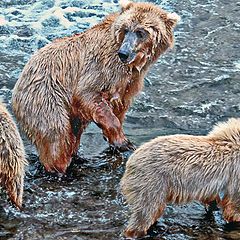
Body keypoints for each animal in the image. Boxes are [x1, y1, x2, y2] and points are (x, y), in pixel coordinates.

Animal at [11, 0, 180, 172]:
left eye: (140, 32)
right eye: (126, 29)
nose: (124, 53)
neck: (134, 64)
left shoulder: (130, 81)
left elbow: (120, 106)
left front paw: (115, 138)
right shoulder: (102, 66)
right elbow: (88, 94)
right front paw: (123, 141)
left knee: (73, 133)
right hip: (46, 98)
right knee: (57, 138)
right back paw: (59, 167)